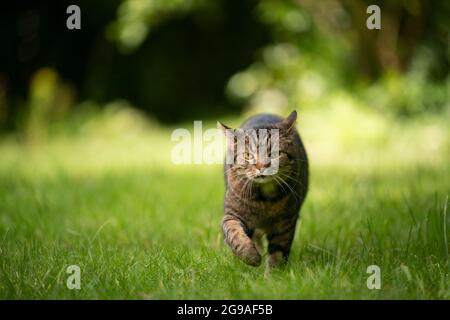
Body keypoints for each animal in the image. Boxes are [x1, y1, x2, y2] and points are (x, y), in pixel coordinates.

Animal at [218, 111, 310, 272]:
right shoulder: (231, 214)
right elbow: (234, 233)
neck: (265, 201)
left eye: (274, 153)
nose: (261, 166)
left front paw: (273, 276)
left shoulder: (285, 223)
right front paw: (250, 255)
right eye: (247, 155)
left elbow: (277, 254)